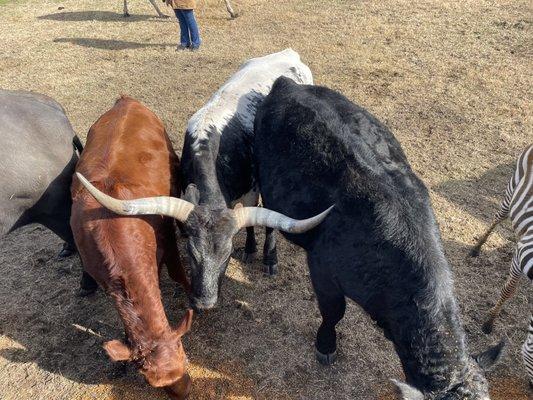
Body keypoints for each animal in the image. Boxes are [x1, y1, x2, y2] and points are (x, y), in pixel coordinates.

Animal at [70, 95, 191, 398]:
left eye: (184, 354)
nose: (185, 392)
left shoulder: (166, 239)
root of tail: (126, 100)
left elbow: (176, 273)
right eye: (149, 381)